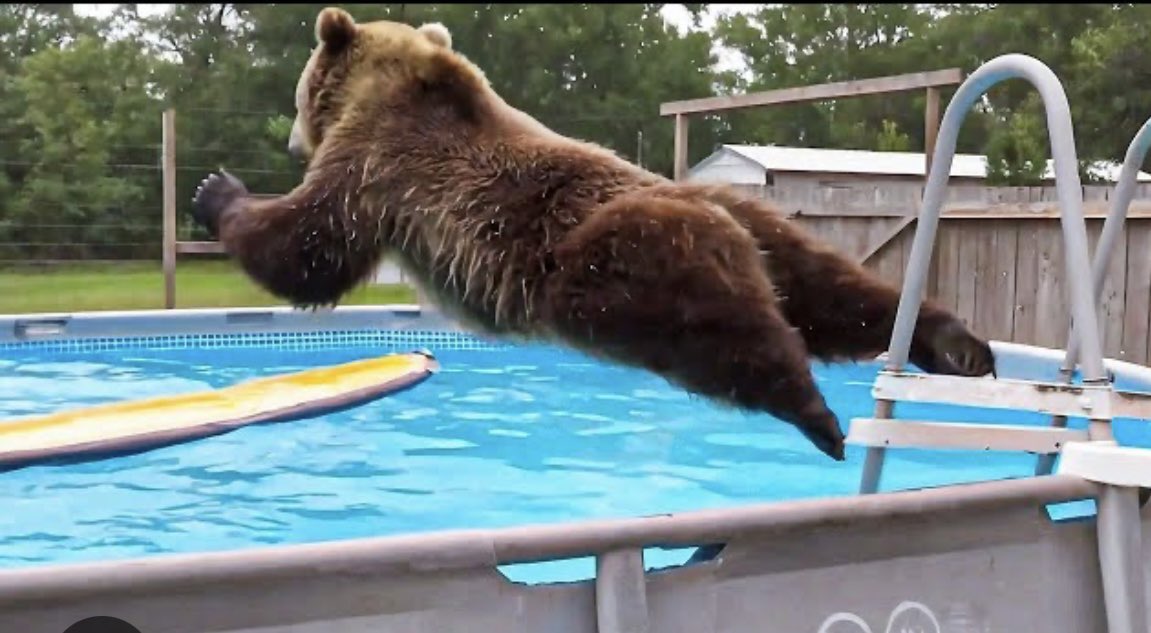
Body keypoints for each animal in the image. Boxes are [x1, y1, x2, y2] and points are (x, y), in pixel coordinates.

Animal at [190, 7, 995, 462]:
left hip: (620, 263)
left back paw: (817, 416)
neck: (397, 84)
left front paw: (216, 194)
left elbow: (307, 247)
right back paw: (953, 342)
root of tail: (724, 219)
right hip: (769, 234)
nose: (291, 138)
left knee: (727, 336)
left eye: (302, 88)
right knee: (837, 294)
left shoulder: (376, 166)